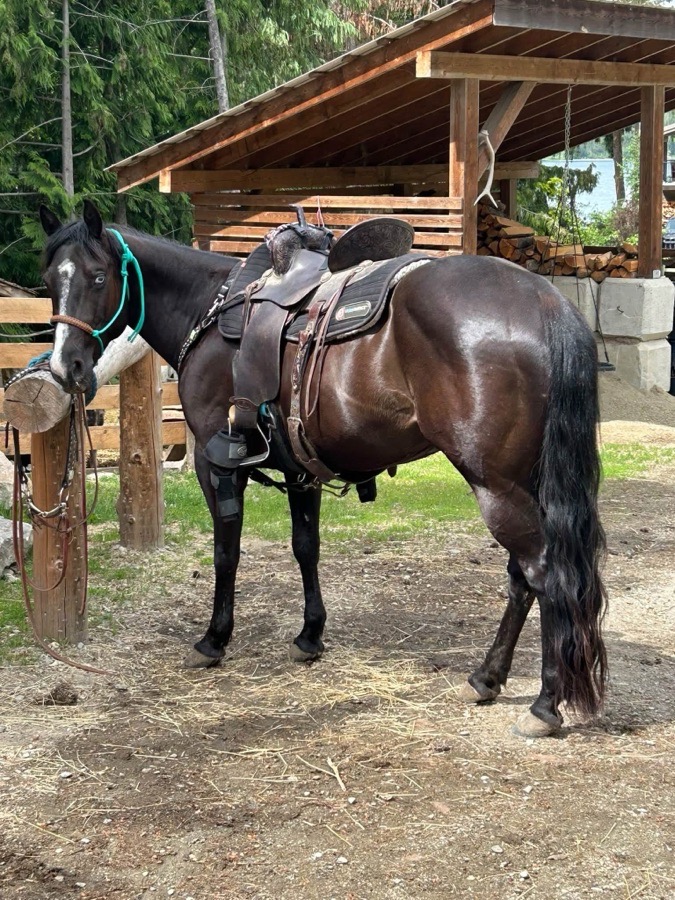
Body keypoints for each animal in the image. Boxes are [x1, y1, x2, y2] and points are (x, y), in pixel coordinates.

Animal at [39, 200, 607, 738]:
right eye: (49, 282)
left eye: (97, 277)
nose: (67, 367)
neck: (208, 311)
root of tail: (545, 300)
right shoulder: (299, 468)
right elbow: (305, 547)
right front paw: (310, 634)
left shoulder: (214, 462)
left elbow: (226, 554)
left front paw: (213, 639)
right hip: (522, 483)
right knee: (522, 578)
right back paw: (487, 678)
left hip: (496, 485)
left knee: (543, 573)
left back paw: (544, 704)